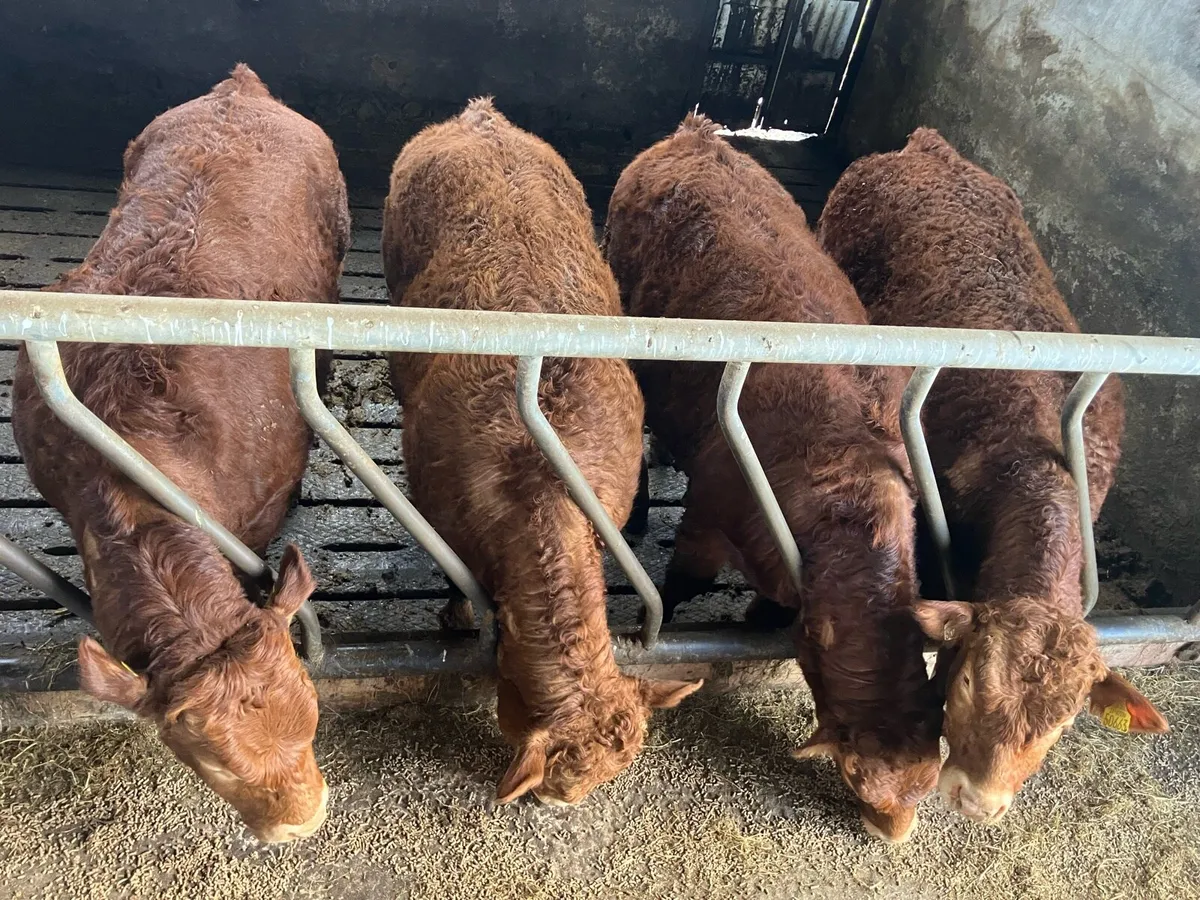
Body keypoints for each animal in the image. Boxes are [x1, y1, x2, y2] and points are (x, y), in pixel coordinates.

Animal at [603, 114, 943, 842]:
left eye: (931, 782)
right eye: (854, 774)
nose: (892, 834)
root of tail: (698, 133)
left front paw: (761, 619)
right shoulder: (710, 509)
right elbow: (684, 582)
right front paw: (654, 624)